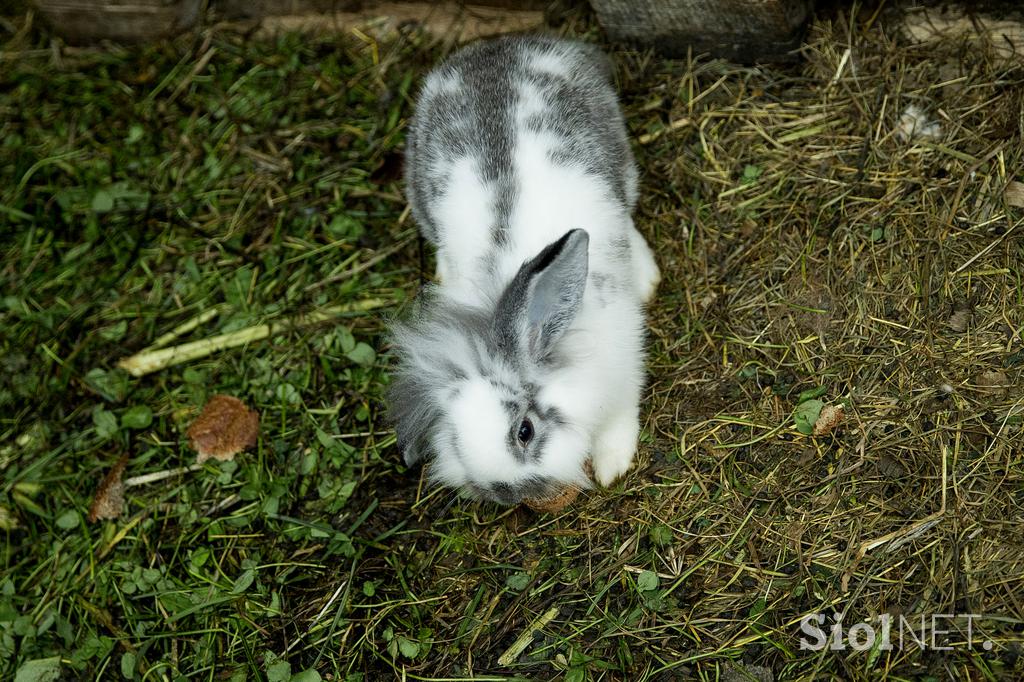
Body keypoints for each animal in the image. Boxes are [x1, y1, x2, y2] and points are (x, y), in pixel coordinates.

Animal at [387, 35, 659, 503]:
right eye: (456, 439)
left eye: (525, 431)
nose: (502, 493)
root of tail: (501, 45)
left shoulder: (623, 369)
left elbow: (618, 422)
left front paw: (612, 466)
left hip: (623, 162)